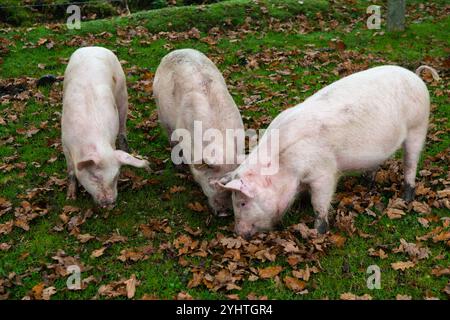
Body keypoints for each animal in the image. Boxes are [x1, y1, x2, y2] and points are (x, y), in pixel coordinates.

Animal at [61, 47, 149, 208]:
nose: (110, 203)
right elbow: (71, 170)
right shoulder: (64, 143)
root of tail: (93, 47)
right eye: (95, 177)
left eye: (116, 176)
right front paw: (70, 198)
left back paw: (128, 149)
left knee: (123, 128)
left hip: (122, 91)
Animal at [219, 65, 440, 239]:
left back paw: (406, 198)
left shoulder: (323, 173)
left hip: (418, 126)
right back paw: (366, 184)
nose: (237, 233)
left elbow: (320, 203)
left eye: (242, 203)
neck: (284, 165)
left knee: (411, 163)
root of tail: (415, 76)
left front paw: (318, 232)